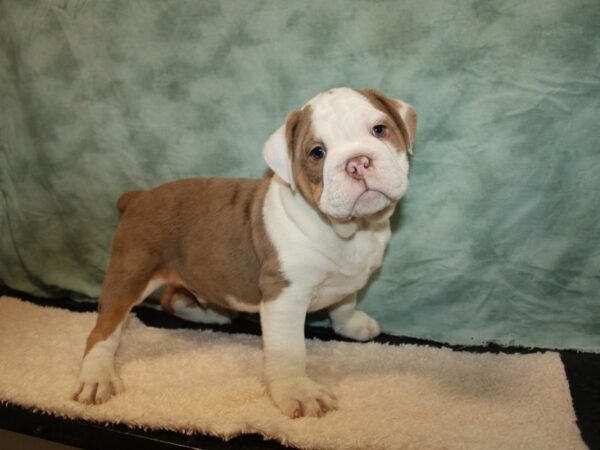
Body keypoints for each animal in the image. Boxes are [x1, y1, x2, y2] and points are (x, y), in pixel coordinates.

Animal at [71, 88, 418, 418]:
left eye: (379, 129)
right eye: (317, 152)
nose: (357, 162)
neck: (352, 231)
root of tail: (138, 196)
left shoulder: (347, 277)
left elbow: (345, 302)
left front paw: (352, 324)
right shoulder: (284, 295)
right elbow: (289, 350)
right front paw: (298, 391)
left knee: (171, 298)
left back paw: (211, 313)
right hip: (130, 271)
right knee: (103, 330)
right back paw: (96, 377)